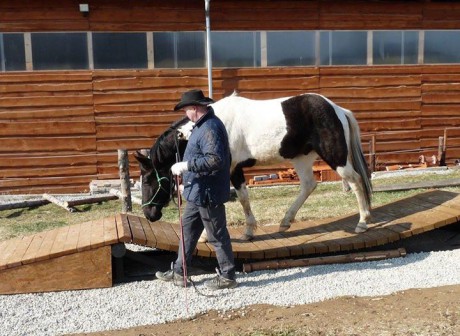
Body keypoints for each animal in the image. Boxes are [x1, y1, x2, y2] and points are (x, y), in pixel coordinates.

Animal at [135, 92, 372, 242]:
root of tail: (338, 110)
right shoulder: (233, 169)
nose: (149, 214)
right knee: (308, 185)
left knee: (357, 180)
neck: (211, 123)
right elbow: (242, 198)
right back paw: (285, 221)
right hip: (301, 159)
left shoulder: (227, 168)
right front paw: (247, 232)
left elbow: (228, 200)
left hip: (336, 158)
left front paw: (206, 236)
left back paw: (363, 222)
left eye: (147, 180)